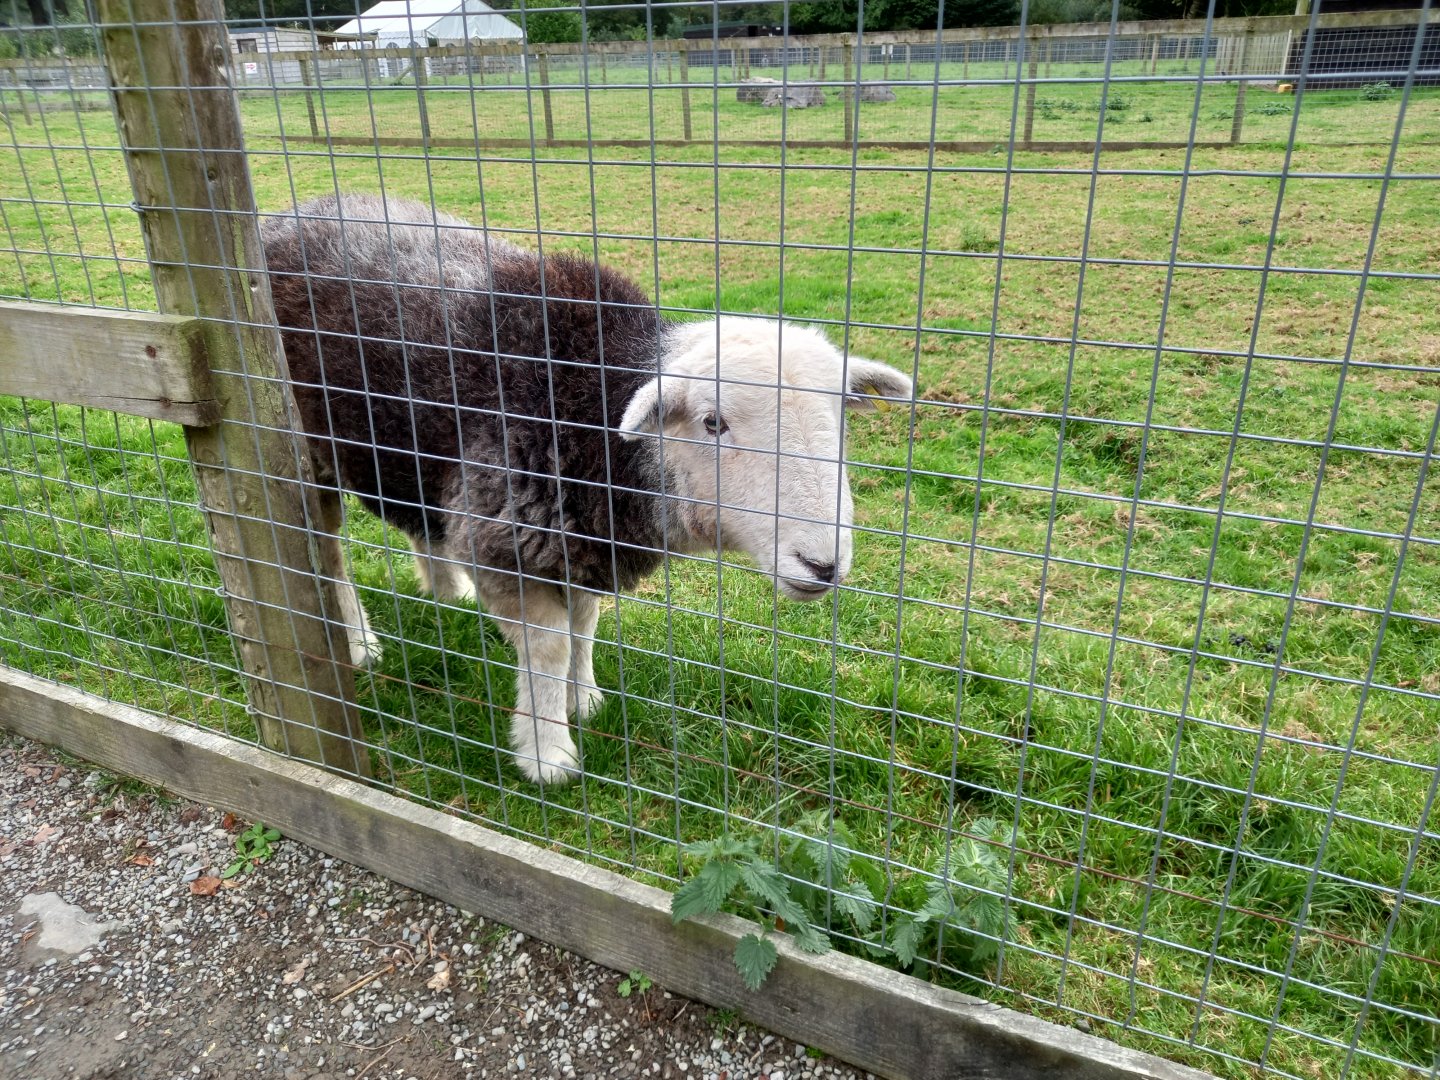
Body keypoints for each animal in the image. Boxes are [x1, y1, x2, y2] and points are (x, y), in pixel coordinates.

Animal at [260, 193, 914, 785]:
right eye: (712, 422)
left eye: (842, 418)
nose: (823, 565)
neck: (593, 411)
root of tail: (290, 212)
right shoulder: (509, 541)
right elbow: (548, 649)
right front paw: (547, 753)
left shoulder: (583, 540)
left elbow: (586, 624)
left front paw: (585, 699)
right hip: (304, 453)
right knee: (326, 554)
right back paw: (357, 643)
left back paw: (447, 592)